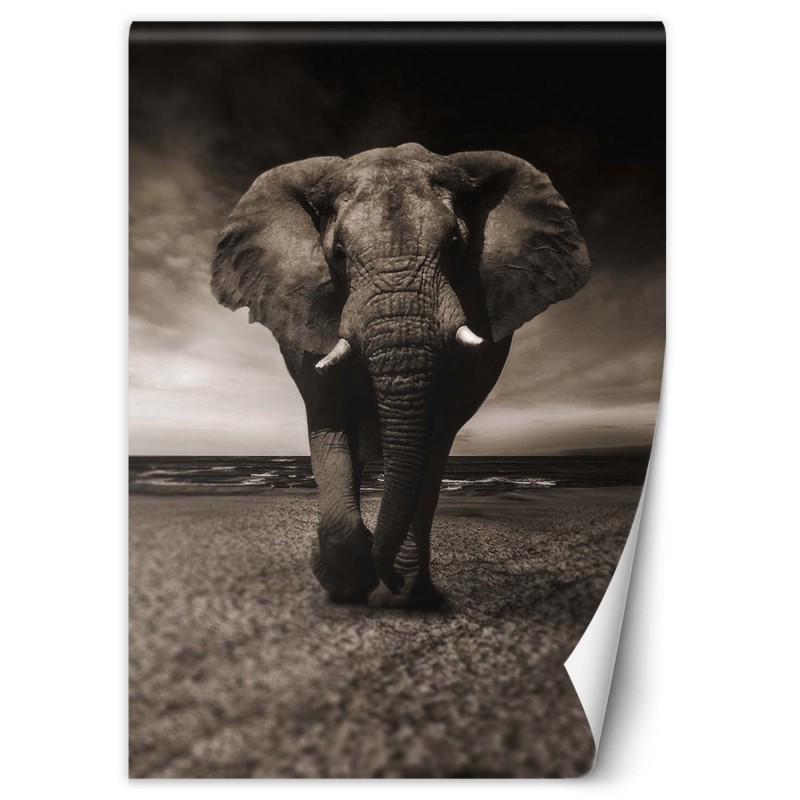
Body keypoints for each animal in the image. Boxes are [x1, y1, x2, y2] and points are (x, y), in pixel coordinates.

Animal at [211, 143, 590, 608]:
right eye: (338, 254)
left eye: (455, 246)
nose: (385, 575)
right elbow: (329, 423)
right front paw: (346, 583)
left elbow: (433, 438)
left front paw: (398, 587)